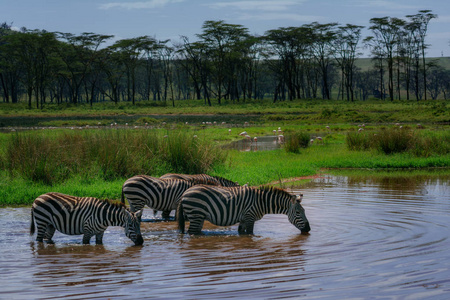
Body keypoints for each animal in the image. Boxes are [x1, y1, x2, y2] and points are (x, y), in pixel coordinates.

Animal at [178, 185, 312, 234]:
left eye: (304, 212)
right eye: (298, 212)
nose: (308, 229)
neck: (261, 202)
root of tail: (185, 192)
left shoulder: (243, 219)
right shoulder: (249, 217)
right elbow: (250, 234)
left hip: (199, 217)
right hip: (196, 215)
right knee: (191, 233)